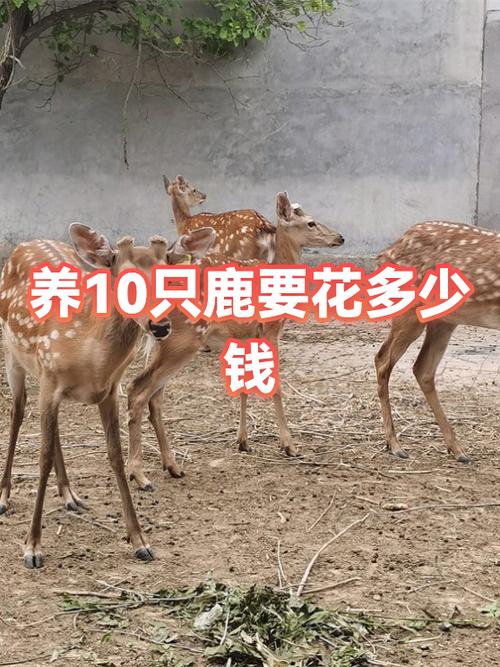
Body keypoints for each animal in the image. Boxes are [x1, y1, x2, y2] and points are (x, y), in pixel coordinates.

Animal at [0, 223, 215, 568]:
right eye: (126, 279)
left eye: (169, 277)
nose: (160, 325)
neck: (90, 354)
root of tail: (26, 243)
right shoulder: (49, 379)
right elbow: (42, 457)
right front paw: (32, 547)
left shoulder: (109, 390)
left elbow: (115, 455)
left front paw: (140, 541)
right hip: (13, 354)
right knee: (17, 413)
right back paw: (5, 496)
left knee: (53, 431)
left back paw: (70, 495)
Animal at [126, 191, 345, 491]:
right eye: (310, 222)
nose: (340, 237)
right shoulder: (271, 329)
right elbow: (275, 384)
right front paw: (289, 445)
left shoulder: (244, 334)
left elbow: (243, 384)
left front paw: (242, 441)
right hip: (183, 338)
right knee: (138, 389)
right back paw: (139, 475)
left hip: (166, 341)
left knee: (154, 397)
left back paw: (172, 466)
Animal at [375, 220, 500, 464]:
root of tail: (386, 252)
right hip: (409, 311)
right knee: (383, 360)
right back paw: (394, 445)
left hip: (444, 319)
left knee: (422, 368)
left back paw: (457, 450)